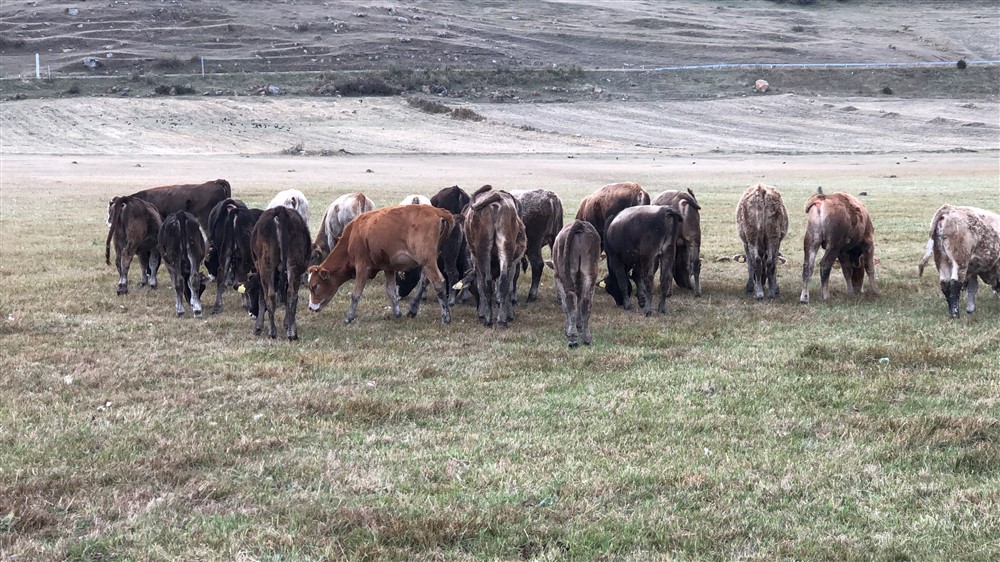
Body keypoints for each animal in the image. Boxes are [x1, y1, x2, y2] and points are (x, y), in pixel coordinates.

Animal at [248, 205, 310, 336]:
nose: (251, 312)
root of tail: (279, 210)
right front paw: (288, 323)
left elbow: (262, 297)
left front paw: (258, 326)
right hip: (293, 264)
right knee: (291, 294)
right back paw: (292, 333)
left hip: (266, 265)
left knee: (270, 295)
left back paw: (272, 331)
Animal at [308, 202, 458, 324]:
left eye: (314, 286)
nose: (310, 307)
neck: (352, 237)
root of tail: (437, 211)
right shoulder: (388, 267)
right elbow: (391, 290)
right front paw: (397, 313)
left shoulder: (362, 267)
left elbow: (356, 294)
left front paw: (349, 317)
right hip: (428, 261)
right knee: (424, 282)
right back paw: (413, 309)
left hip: (426, 259)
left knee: (438, 282)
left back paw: (446, 317)